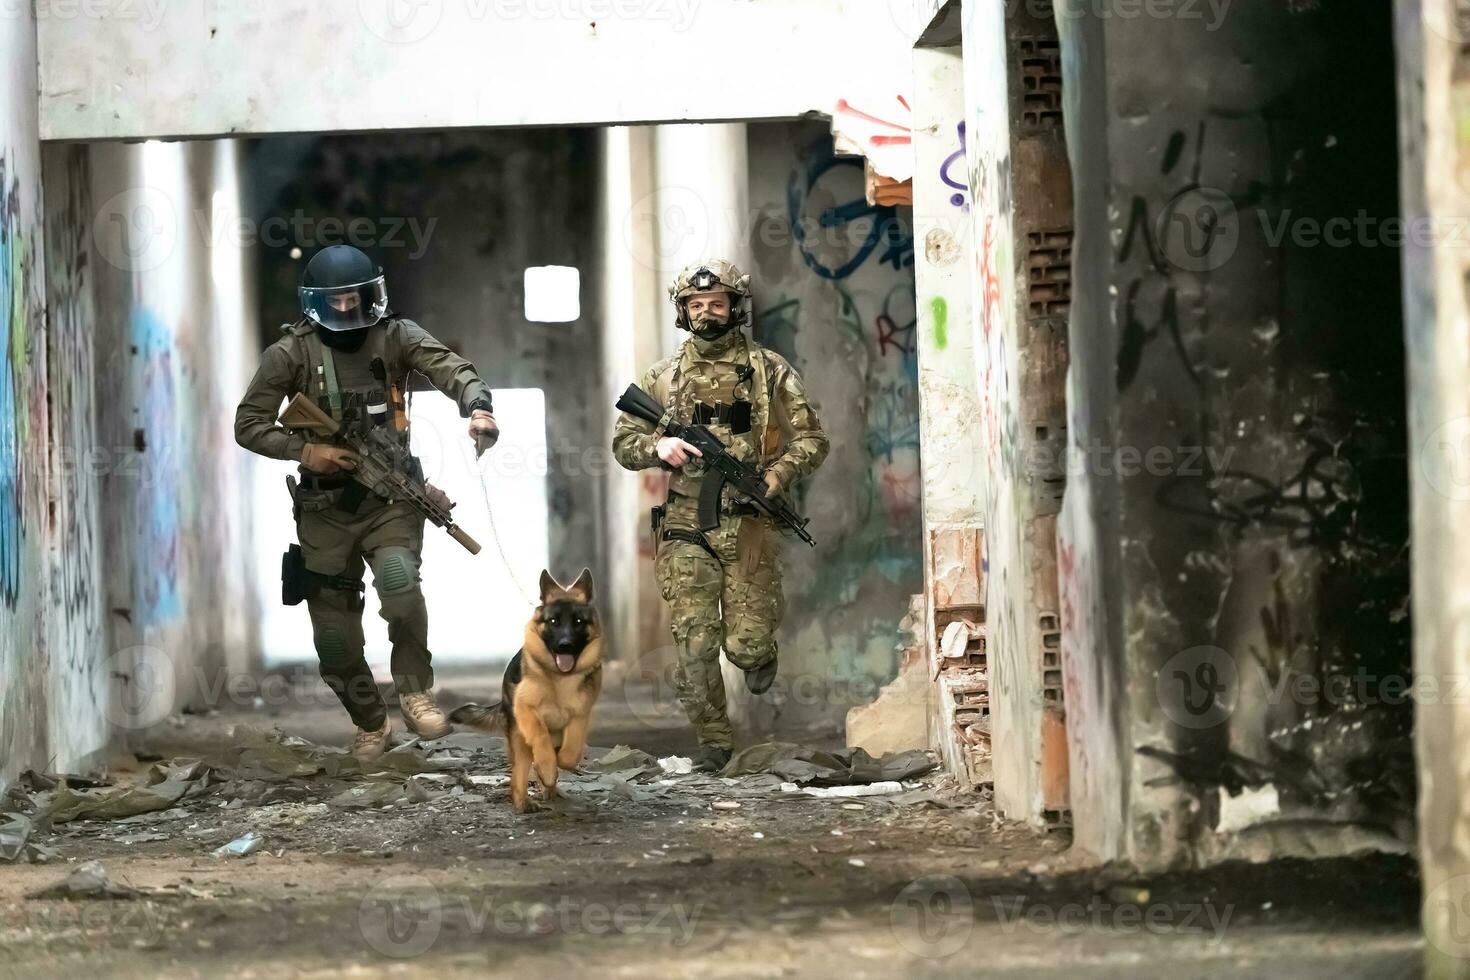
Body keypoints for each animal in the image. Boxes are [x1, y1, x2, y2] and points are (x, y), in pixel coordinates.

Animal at [449, 567, 605, 811]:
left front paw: (561, 763)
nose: (565, 646)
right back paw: (523, 799)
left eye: (579, 621)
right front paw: (547, 767)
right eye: (553, 621)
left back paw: (551, 790)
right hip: (518, 739)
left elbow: (571, 750)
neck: (560, 679)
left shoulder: (580, 716)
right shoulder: (526, 709)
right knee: (519, 773)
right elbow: (540, 736)